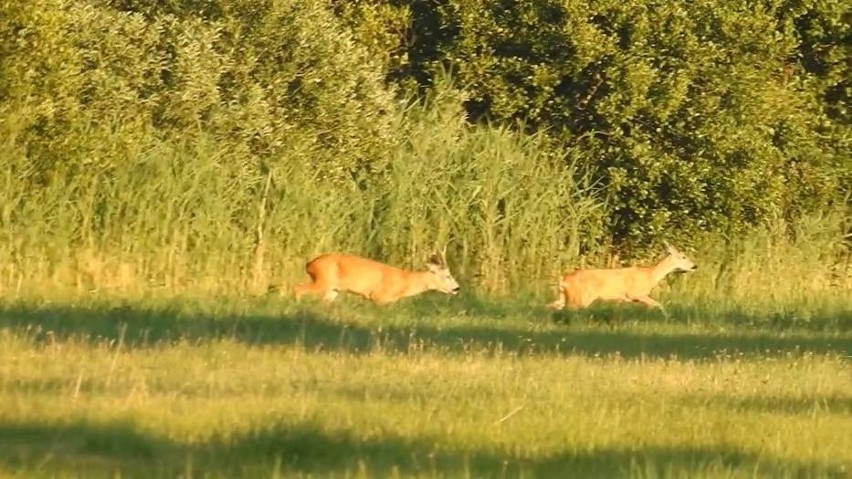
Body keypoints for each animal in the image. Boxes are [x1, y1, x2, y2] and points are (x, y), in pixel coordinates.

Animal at [294, 249, 466, 306]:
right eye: (447, 275)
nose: (457, 288)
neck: (405, 281)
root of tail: (310, 264)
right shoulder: (379, 296)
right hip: (322, 280)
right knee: (298, 287)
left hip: (332, 288)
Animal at [548, 240, 696, 312]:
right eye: (683, 256)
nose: (694, 266)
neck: (650, 276)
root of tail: (564, 279)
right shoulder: (635, 293)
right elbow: (659, 305)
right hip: (581, 296)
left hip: (565, 296)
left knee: (551, 306)